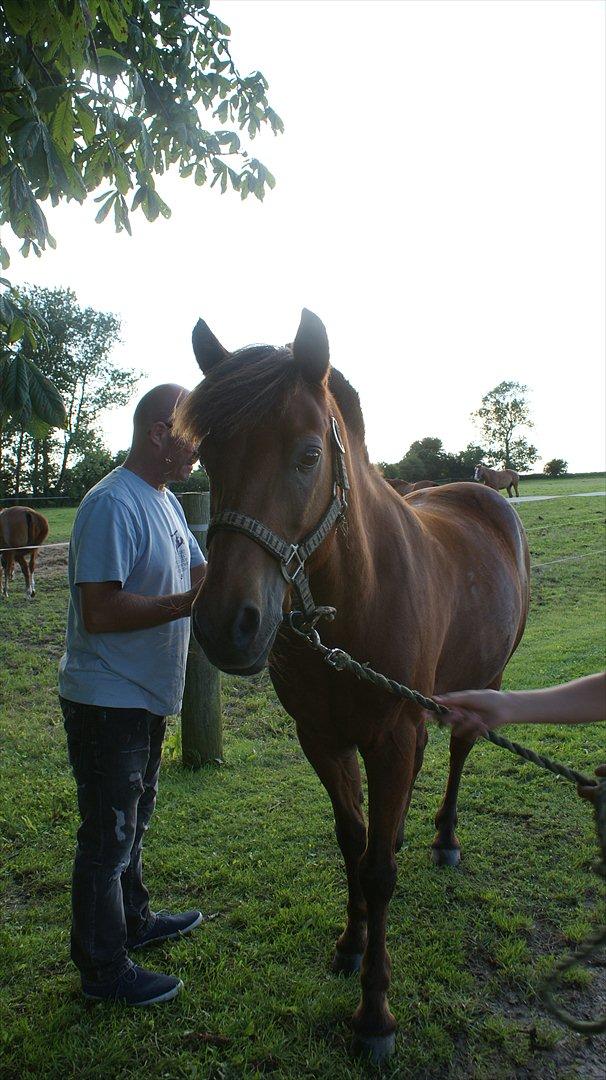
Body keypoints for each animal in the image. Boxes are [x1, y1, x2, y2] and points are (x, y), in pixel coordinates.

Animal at [172, 308, 527, 1058]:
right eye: (208, 459)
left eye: (309, 455)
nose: (226, 626)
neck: (354, 601)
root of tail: (488, 494)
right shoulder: (324, 739)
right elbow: (352, 842)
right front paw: (350, 944)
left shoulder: (389, 736)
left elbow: (379, 871)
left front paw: (375, 1015)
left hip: (482, 684)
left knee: (456, 756)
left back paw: (444, 838)